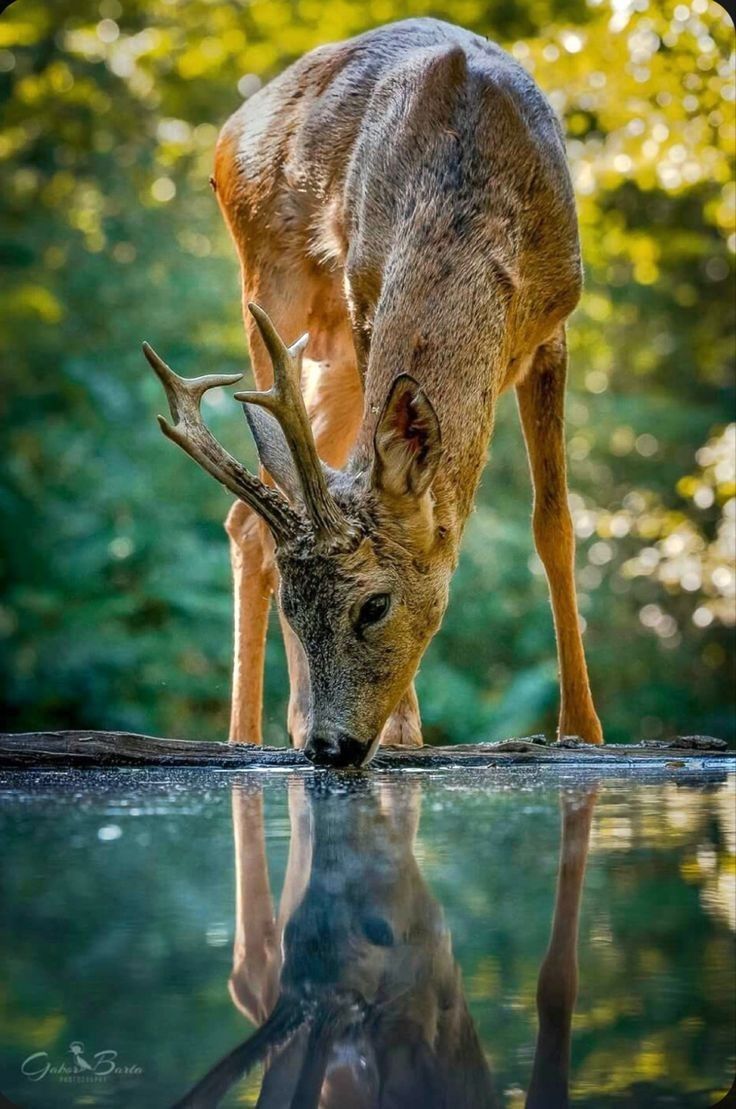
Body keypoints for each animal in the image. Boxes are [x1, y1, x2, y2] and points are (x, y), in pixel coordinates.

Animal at [144, 17, 602, 767]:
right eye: (298, 609)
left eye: (375, 605)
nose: (331, 747)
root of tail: (232, 129)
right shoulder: (366, 298)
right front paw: (406, 734)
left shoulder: (555, 323)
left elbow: (555, 524)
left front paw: (584, 730)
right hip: (273, 289)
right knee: (257, 513)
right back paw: (251, 735)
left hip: (328, 357)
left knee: (254, 508)